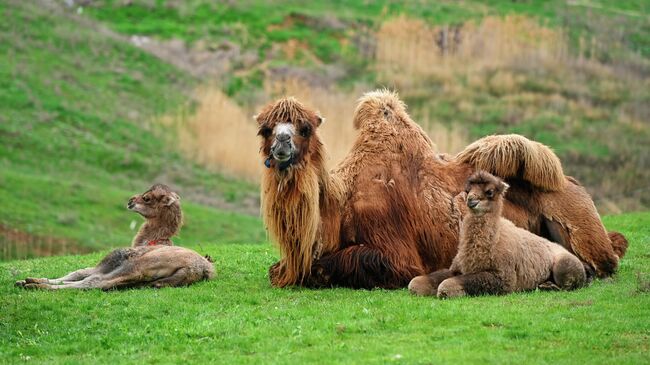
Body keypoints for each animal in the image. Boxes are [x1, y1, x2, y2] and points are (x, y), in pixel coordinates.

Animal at [15, 185, 214, 290]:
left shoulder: (113, 262)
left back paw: (36, 287)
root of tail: (198, 269)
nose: (130, 200)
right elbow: (77, 273)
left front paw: (31, 281)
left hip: (135, 266)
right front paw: (26, 279)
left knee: (93, 283)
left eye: (147, 198)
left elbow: (81, 273)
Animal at [410, 170, 588, 296]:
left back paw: (548, 286)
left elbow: (448, 284)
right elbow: (415, 283)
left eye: (490, 192)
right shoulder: (457, 267)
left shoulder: (503, 278)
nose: (471, 200)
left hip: (564, 265)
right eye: (467, 190)